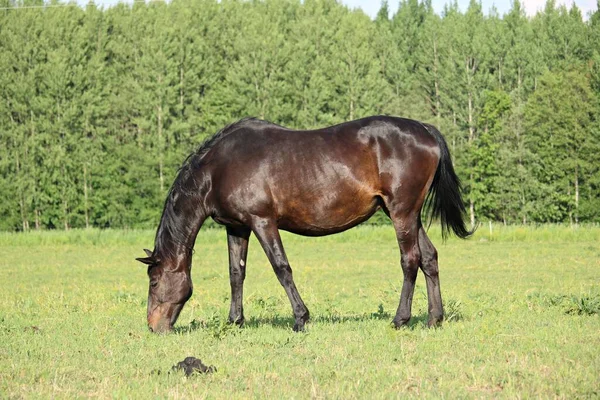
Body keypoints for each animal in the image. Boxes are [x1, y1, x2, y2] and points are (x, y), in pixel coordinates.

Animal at [136, 116, 474, 334]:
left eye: (153, 282)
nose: (153, 327)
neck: (219, 167)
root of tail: (425, 130)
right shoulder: (237, 227)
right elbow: (236, 274)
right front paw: (234, 321)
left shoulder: (262, 221)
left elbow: (281, 268)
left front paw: (300, 318)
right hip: (408, 215)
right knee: (429, 257)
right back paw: (434, 318)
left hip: (402, 212)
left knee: (410, 260)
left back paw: (400, 319)